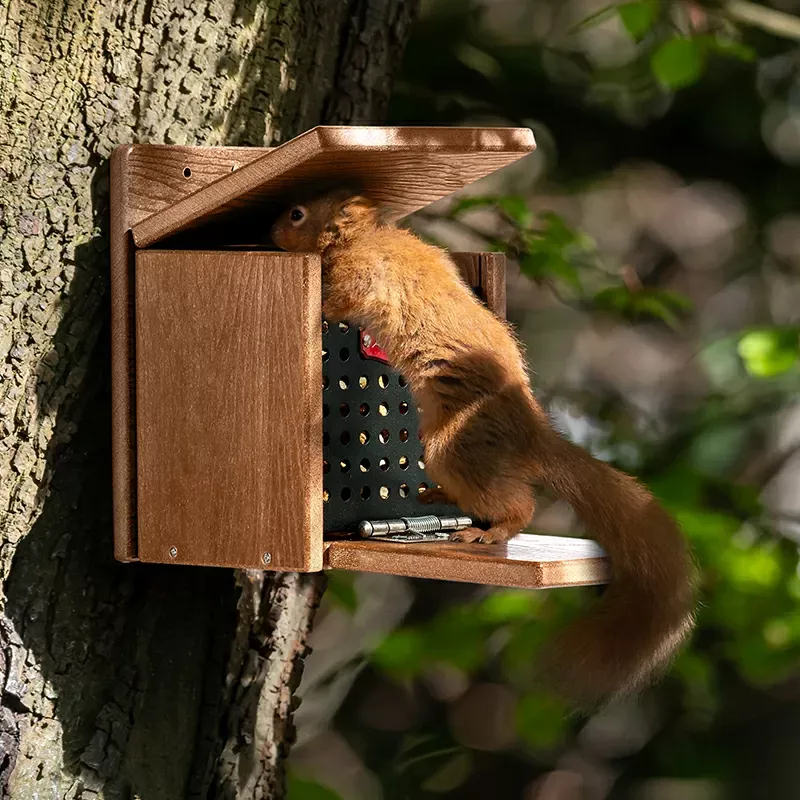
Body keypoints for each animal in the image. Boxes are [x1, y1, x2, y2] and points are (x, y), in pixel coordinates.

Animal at [271, 189, 696, 706]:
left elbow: (340, 300)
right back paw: (439, 499)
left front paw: (321, 304)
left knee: (519, 505)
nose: (269, 232)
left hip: (451, 447)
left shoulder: (363, 276)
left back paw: (487, 533)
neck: (365, 236)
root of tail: (529, 430)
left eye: (297, 214)